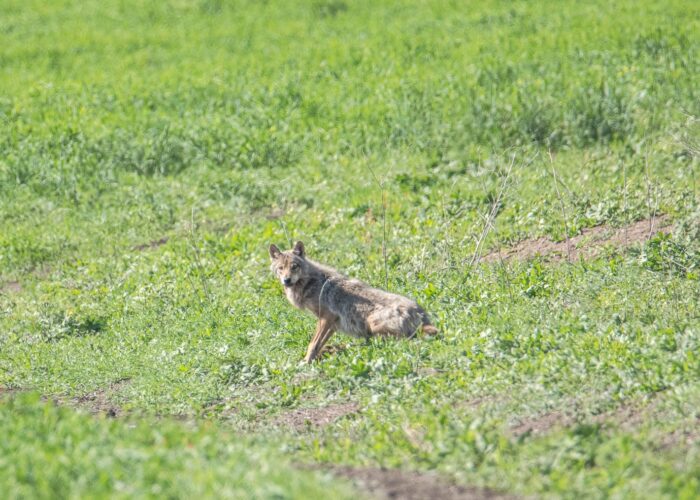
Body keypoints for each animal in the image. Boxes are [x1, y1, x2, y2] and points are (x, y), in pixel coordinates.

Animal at [269, 241, 438, 363]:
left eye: (294, 267)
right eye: (281, 268)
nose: (286, 280)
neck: (311, 282)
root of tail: (421, 314)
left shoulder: (326, 317)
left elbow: (313, 344)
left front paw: (306, 361)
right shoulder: (333, 323)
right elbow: (320, 343)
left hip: (373, 324)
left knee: (392, 341)